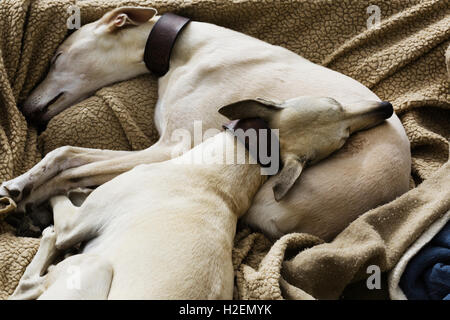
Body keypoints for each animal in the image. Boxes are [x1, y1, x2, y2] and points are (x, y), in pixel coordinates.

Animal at [0, 6, 412, 240]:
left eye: (57, 57)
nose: (24, 107)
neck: (184, 48)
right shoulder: (162, 145)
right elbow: (65, 153)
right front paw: (23, 183)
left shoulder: (172, 147)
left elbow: (71, 163)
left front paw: (25, 193)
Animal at [11, 95, 394, 300]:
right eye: (336, 107)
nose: (388, 107)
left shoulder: (76, 222)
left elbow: (60, 194)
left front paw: (29, 198)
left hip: (91, 267)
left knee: (29, 282)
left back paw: (42, 236)